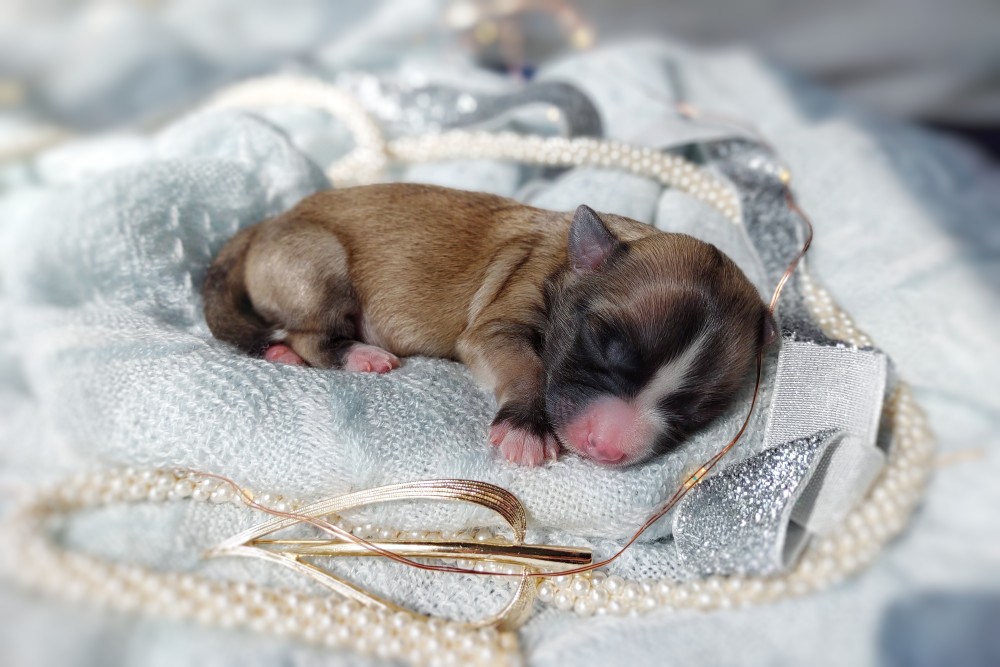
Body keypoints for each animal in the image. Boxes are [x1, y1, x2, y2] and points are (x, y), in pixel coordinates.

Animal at [203, 183, 775, 466]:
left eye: (696, 410)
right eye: (599, 346)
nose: (608, 449)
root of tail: (265, 225)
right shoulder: (502, 316)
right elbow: (527, 365)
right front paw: (526, 430)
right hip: (317, 261)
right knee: (306, 332)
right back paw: (353, 354)